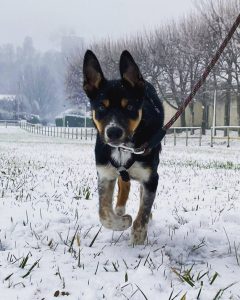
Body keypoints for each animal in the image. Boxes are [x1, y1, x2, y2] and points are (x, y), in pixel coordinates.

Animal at [82, 49, 163, 245]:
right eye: (101, 107)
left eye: (130, 106)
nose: (113, 132)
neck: (125, 148)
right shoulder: (104, 173)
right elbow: (104, 213)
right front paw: (123, 221)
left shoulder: (151, 177)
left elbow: (143, 212)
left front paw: (137, 239)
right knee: (124, 184)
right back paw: (120, 210)